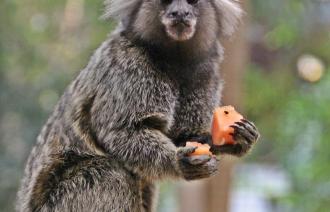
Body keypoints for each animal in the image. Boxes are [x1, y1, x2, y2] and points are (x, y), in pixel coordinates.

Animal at [17, 0, 260, 211]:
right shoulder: (128, 67)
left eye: (192, 2)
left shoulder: (206, 72)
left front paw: (238, 140)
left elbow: (186, 135)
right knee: (109, 175)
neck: (174, 59)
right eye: (165, 2)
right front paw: (179, 161)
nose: (179, 13)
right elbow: (123, 131)